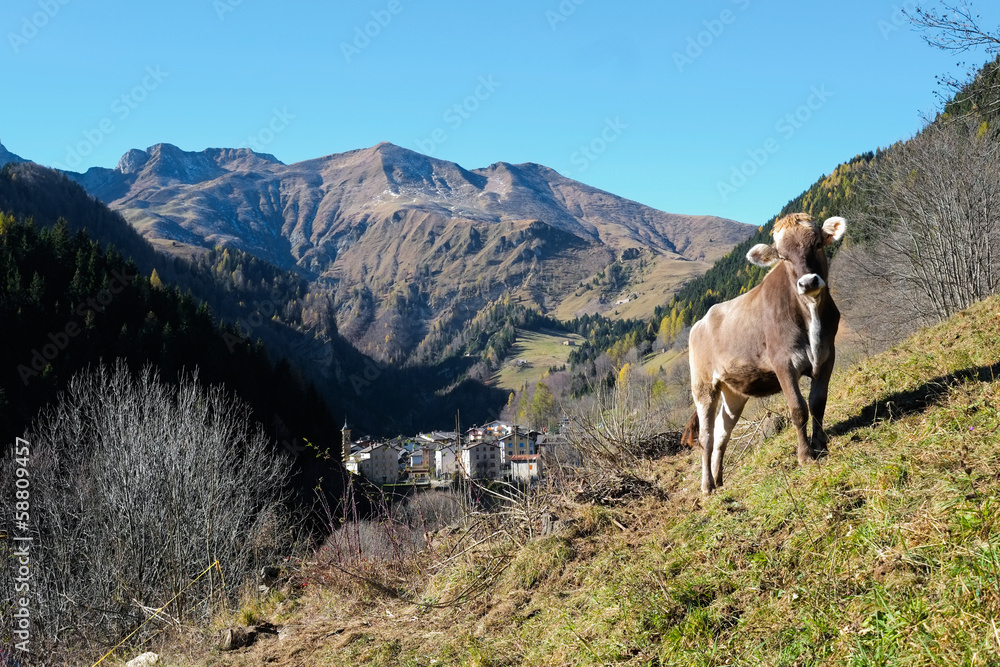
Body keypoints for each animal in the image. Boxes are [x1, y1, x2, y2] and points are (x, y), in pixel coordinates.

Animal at [683, 212, 847, 494]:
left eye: (817, 244)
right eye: (783, 256)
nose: (808, 282)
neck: (810, 314)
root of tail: (700, 322)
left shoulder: (827, 356)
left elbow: (818, 403)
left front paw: (821, 446)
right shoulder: (783, 363)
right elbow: (798, 408)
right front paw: (805, 455)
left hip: (733, 392)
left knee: (722, 433)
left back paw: (719, 479)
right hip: (703, 386)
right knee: (706, 436)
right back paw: (707, 485)